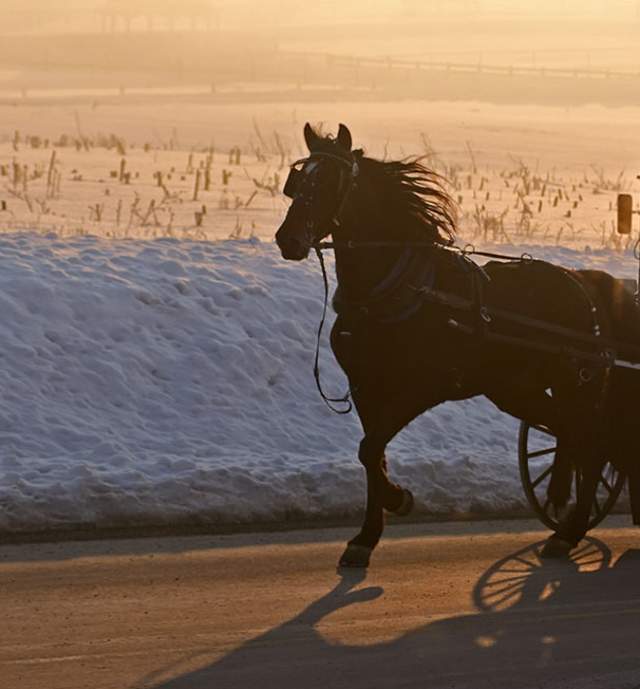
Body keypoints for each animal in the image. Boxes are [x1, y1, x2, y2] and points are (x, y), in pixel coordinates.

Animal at [275, 122, 640, 568]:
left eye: (330, 182)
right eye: (297, 183)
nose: (287, 240)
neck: (395, 291)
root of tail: (586, 283)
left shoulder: (422, 387)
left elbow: (369, 448)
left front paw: (399, 500)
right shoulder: (366, 389)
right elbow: (373, 454)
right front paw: (367, 534)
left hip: (578, 385)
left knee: (593, 444)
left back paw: (568, 533)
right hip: (519, 390)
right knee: (573, 436)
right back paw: (563, 513)